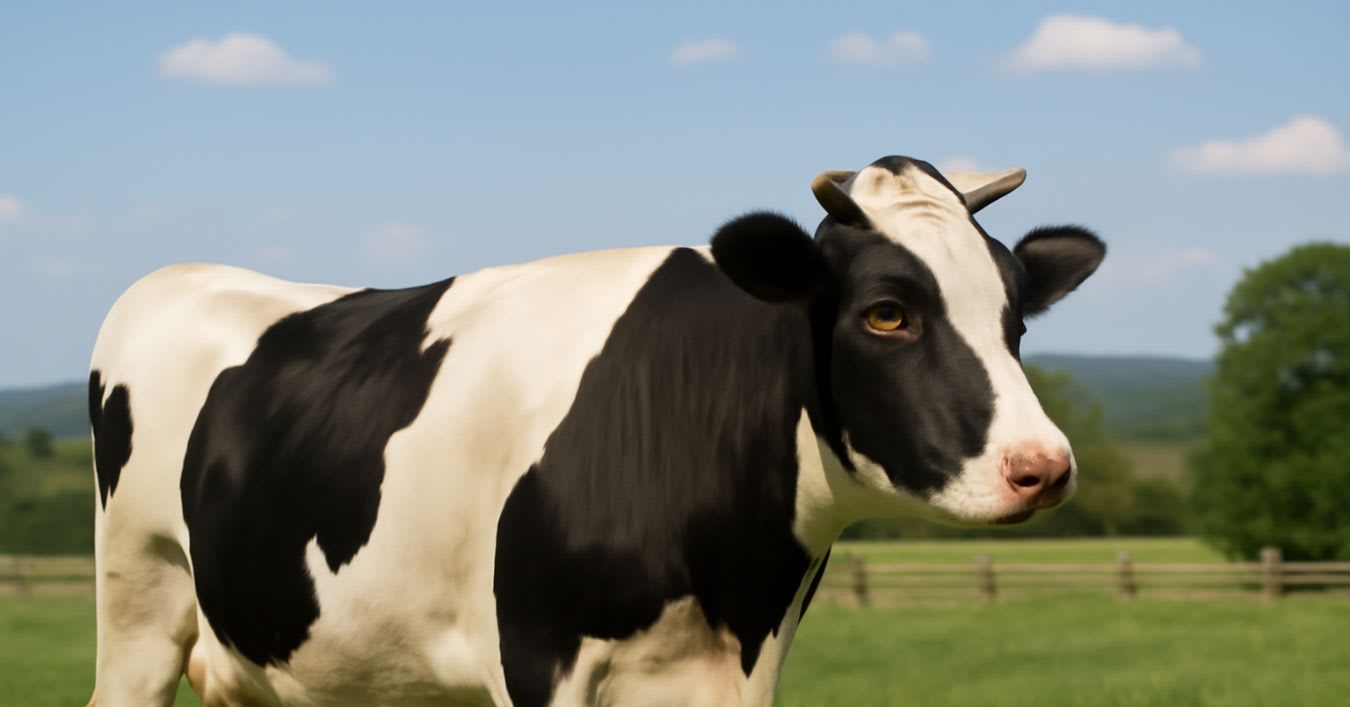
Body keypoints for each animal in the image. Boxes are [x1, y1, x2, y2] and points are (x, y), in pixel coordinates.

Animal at [86, 155, 1104, 707]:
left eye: (1015, 317)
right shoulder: (536, 661)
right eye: (887, 313)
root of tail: (179, 273)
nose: (1042, 466)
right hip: (137, 597)